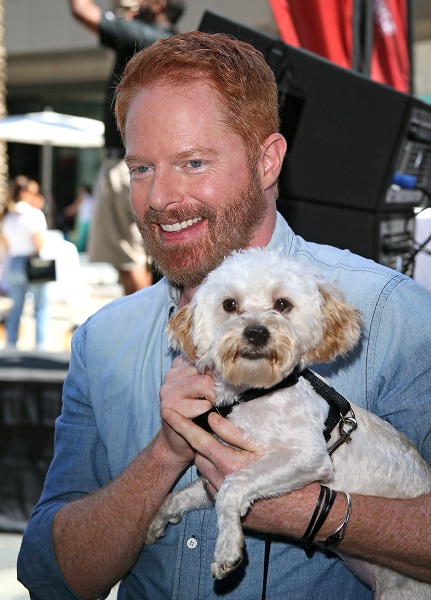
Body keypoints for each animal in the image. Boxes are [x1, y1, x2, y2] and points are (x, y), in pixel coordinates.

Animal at [148, 246, 431, 596]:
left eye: (282, 304)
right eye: (230, 304)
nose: (256, 332)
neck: (254, 394)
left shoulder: (304, 458)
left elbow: (232, 486)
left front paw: (227, 549)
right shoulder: (211, 477)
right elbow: (181, 495)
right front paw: (159, 519)